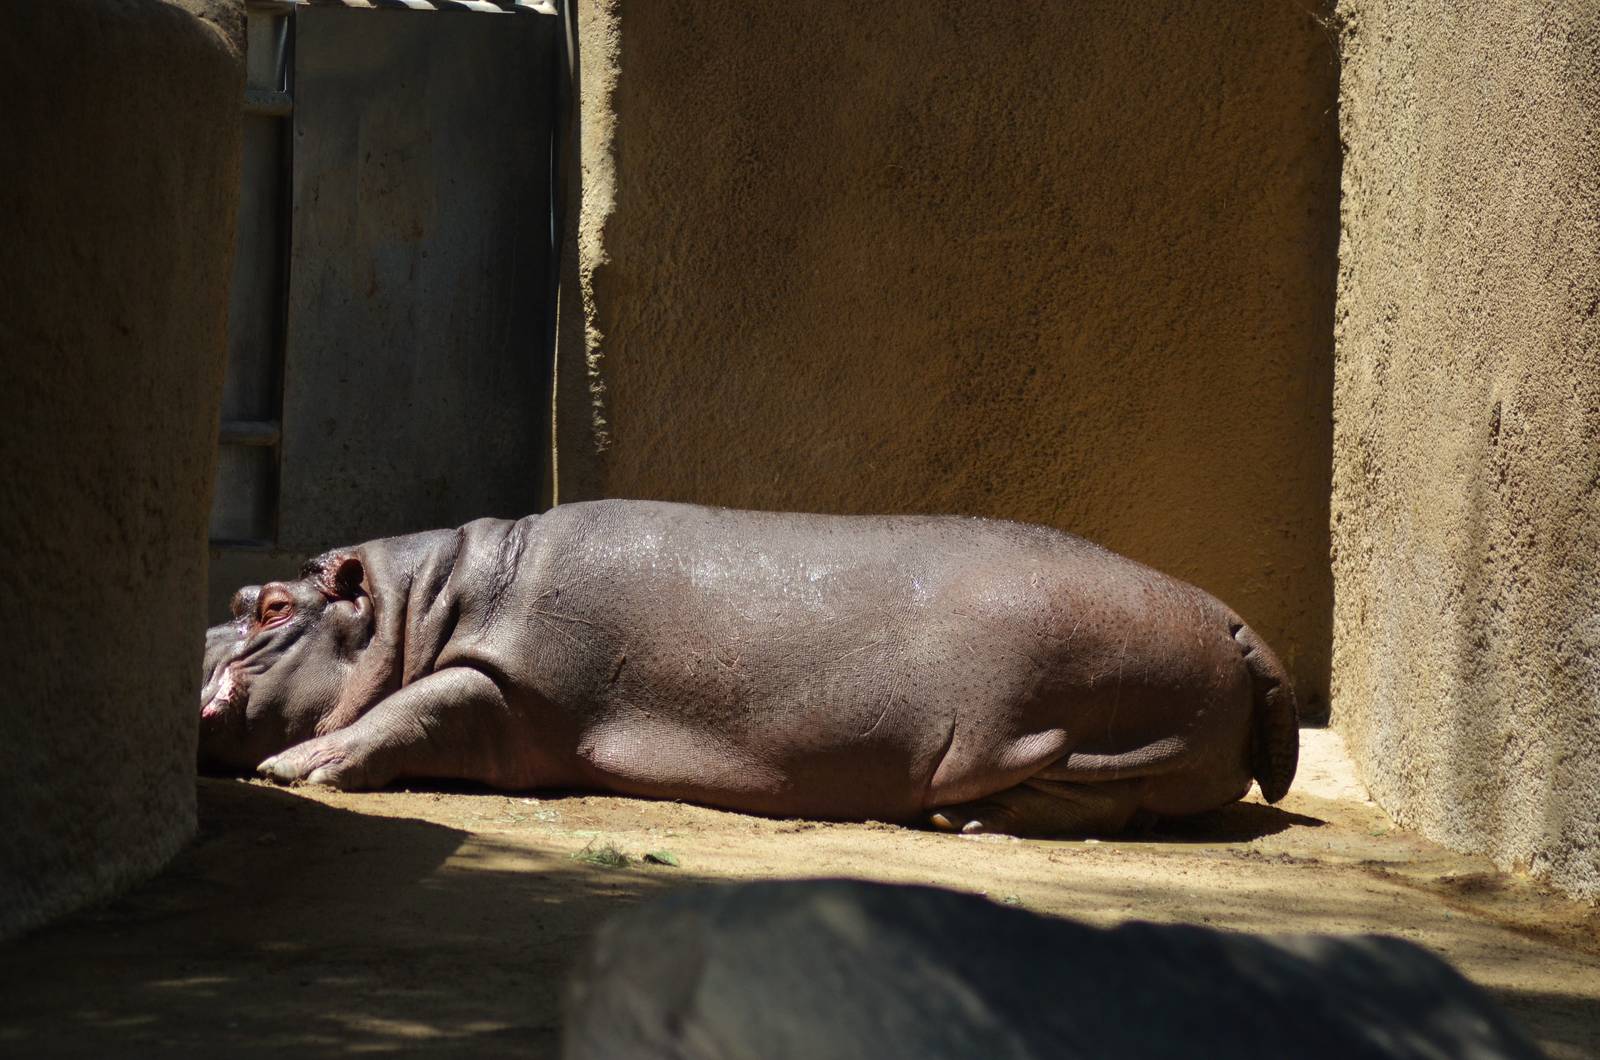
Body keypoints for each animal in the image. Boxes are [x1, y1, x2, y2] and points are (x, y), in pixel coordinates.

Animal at [199, 500, 1298, 836]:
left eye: (276, 606)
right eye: (237, 595)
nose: (192, 650)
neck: (424, 600)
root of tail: (1233, 618)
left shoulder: (510, 680)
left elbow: (418, 703)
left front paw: (300, 768)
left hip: (1054, 724)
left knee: (1093, 789)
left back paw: (973, 822)